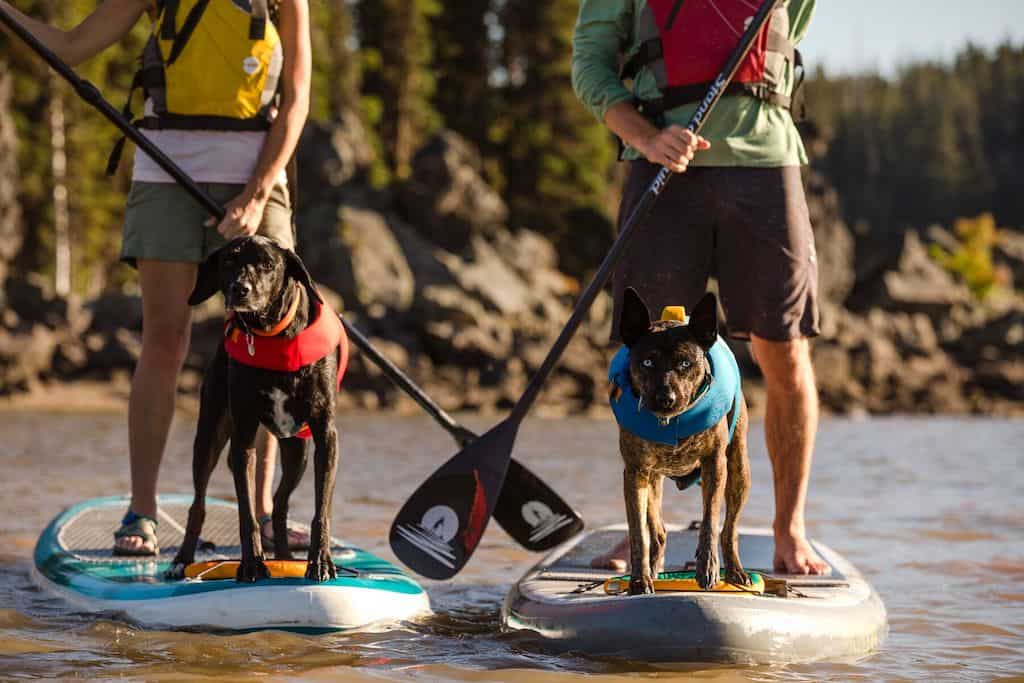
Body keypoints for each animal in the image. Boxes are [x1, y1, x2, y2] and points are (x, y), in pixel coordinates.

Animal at [167, 236, 344, 581]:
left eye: (267, 264)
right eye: (228, 261)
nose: (240, 289)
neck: (273, 335)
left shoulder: (325, 437)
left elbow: (322, 511)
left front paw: (320, 561)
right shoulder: (243, 437)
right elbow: (246, 513)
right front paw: (252, 563)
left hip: (298, 453)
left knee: (279, 504)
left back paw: (286, 557)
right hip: (208, 437)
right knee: (198, 505)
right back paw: (182, 559)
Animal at [614, 286, 753, 593]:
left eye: (685, 363)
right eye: (647, 362)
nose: (665, 398)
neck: (671, 422)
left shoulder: (715, 465)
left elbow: (710, 521)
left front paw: (708, 566)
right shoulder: (635, 474)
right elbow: (637, 532)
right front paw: (639, 580)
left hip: (739, 469)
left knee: (729, 529)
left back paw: (735, 570)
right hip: (652, 481)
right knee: (658, 532)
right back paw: (653, 567)